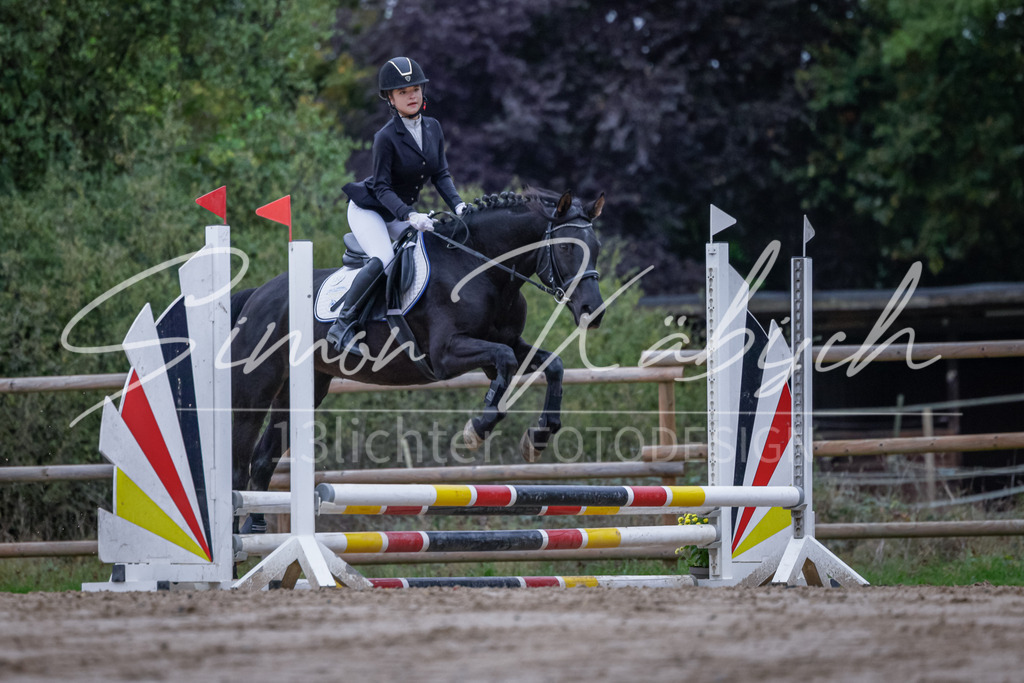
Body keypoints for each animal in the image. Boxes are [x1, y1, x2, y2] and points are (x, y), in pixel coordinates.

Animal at [229, 189, 605, 530]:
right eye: (567, 247)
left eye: (597, 248)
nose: (593, 312)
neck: (481, 268)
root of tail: (258, 294)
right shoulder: (446, 354)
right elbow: (506, 362)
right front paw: (477, 429)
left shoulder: (506, 345)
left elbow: (550, 365)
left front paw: (539, 437)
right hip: (256, 388)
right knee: (239, 463)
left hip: (304, 388)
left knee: (262, 460)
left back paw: (256, 527)